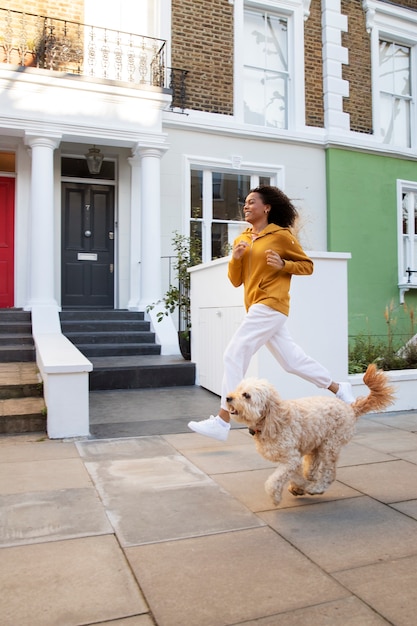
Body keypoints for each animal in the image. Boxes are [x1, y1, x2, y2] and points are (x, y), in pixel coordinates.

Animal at [224, 364, 394, 504]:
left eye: (246, 395)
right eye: (238, 389)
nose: (227, 397)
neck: (272, 420)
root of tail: (350, 408)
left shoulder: (291, 459)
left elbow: (274, 480)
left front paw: (276, 497)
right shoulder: (292, 460)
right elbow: (295, 474)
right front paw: (299, 486)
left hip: (330, 446)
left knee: (329, 473)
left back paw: (316, 488)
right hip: (316, 445)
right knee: (311, 469)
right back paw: (306, 484)